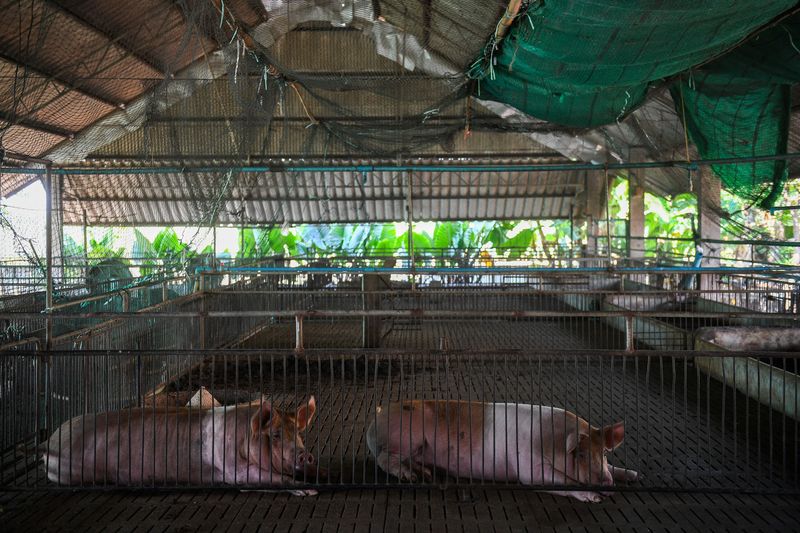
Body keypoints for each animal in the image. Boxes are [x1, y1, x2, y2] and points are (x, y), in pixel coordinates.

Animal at [43, 396, 318, 492]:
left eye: (297, 431)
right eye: (276, 434)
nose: (304, 455)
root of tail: (50, 441)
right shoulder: (230, 467)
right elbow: (266, 478)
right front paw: (308, 491)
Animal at [368, 402, 636, 500]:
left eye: (604, 453)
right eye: (580, 454)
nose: (607, 484)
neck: (552, 440)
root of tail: (377, 415)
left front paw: (633, 475)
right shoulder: (528, 469)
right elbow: (563, 481)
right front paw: (595, 498)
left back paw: (425, 474)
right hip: (407, 438)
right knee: (383, 458)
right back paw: (410, 477)